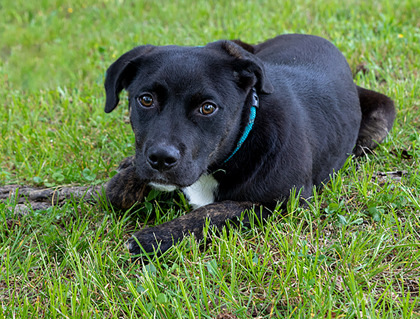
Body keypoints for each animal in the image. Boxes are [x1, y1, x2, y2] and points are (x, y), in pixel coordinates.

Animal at [103, 33, 396, 256]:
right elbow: (115, 192)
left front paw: (154, 237)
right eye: (146, 100)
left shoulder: (285, 203)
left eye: (207, 108)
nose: (161, 159)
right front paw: (127, 176)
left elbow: (215, 212)